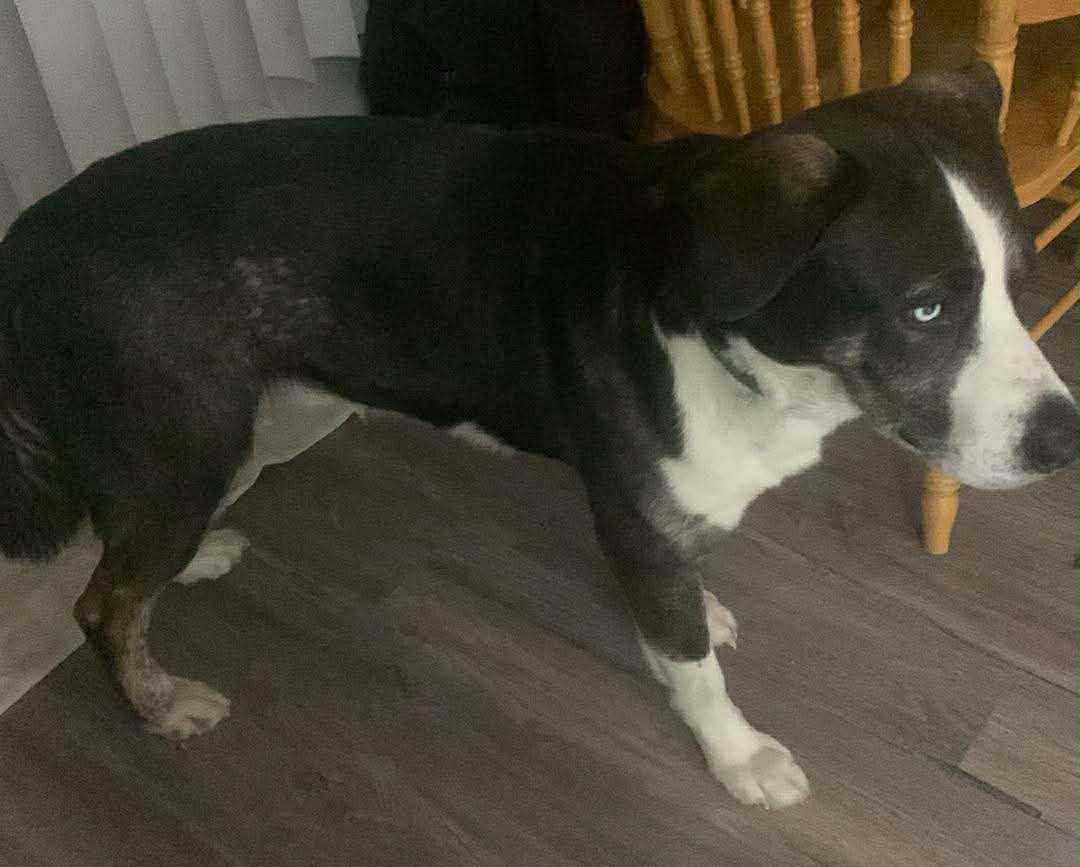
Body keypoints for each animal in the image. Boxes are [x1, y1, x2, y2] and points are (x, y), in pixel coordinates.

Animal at [1, 63, 1073, 809]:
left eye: (1019, 285)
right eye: (927, 310)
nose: (1066, 443)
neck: (726, 337)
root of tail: (28, 239)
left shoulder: (659, 518)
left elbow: (681, 611)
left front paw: (702, 610)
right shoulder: (633, 516)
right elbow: (693, 669)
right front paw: (739, 756)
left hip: (231, 432)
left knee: (130, 560)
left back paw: (196, 561)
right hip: (180, 439)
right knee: (101, 603)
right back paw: (161, 704)